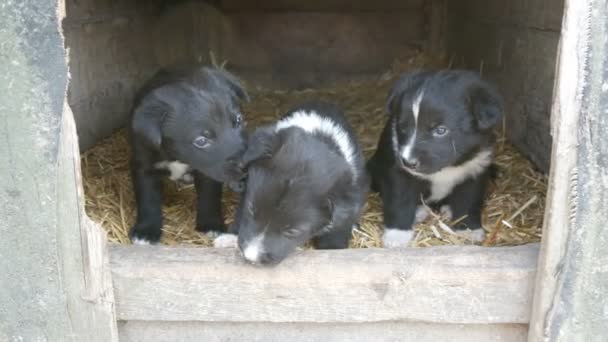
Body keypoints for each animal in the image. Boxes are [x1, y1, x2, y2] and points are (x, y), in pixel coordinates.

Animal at [128, 65, 249, 244]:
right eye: (201, 140)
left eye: (238, 120)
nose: (247, 163)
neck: (177, 157)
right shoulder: (143, 164)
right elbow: (148, 199)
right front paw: (146, 231)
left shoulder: (207, 171)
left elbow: (209, 196)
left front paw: (211, 224)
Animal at [366, 69, 504, 247]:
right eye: (402, 127)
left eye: (440, 130)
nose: (408, 162)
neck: (447, 168)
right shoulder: (399, 173)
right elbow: (400, 201)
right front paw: (397, 235)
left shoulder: (475, 170)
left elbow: (469, 202)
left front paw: (469, 230)